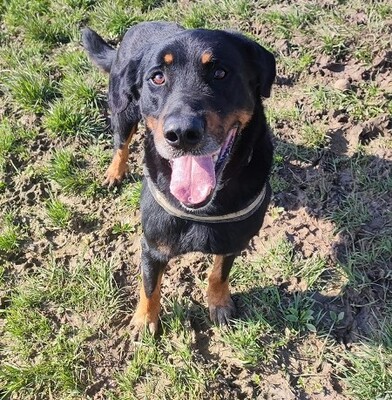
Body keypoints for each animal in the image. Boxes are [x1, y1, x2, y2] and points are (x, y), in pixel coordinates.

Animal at [82, 21, 276, 334]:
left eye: (220, 73)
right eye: (157, 77)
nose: (182, 133)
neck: (203, 208)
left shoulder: (234, 239)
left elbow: (219, 273)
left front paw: (219, 304)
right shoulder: (152, 245)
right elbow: (150, 286)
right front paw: (144, 320)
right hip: (121, 110)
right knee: (121, 143)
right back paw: (114, 171)